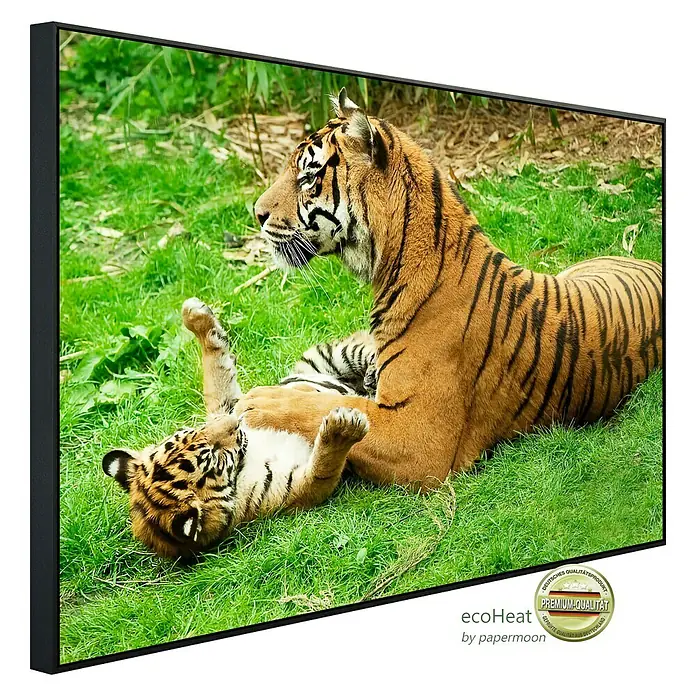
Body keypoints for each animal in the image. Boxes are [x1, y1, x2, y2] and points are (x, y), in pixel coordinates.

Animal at [102, 297, 376, 558]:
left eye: (193, 432)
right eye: (213, 456)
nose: (237, 422)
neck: (242, 467)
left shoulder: (228, 405)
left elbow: (216, 372)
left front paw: (196, 315)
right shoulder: (297, 489)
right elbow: (324, 466)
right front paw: (342, 427)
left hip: (329, 358)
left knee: (366, 347)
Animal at [240, 88, 663, 490]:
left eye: (308, 177)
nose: (257, 213)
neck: (393, 262)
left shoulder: (419, 437)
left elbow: (319, 407)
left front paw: (259, 400)